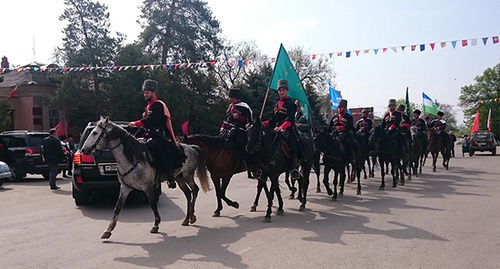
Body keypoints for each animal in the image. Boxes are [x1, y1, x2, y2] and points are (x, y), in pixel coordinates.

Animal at [81, 116, 210, 238]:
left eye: (95, 133)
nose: (83, 149)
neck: (132, 158)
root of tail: (192, 147)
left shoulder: (147, 187)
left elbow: (153, 205)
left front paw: (156, 225)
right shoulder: (125, 187)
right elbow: (117, 208)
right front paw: (108, 230)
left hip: (188, 175)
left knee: (195, 190)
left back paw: (192, 216)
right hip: (180, 178)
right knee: (188, 193)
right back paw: (187, 219)